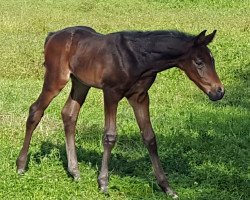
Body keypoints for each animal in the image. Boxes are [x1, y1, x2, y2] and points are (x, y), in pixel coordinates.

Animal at [17, 26, 225, 198]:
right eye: (199, 62)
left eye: (213, 60)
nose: (219, 91)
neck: (139, 58)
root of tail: (52, 36)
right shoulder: (111, 93)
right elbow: (110, 136)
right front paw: (103, 183)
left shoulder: (140, 97)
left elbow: (150, 137)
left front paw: (167, 188)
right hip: (56, 78)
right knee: (36, 111)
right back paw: (21, 166)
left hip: (81, 83)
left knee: (69, 114)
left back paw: (75, 172)